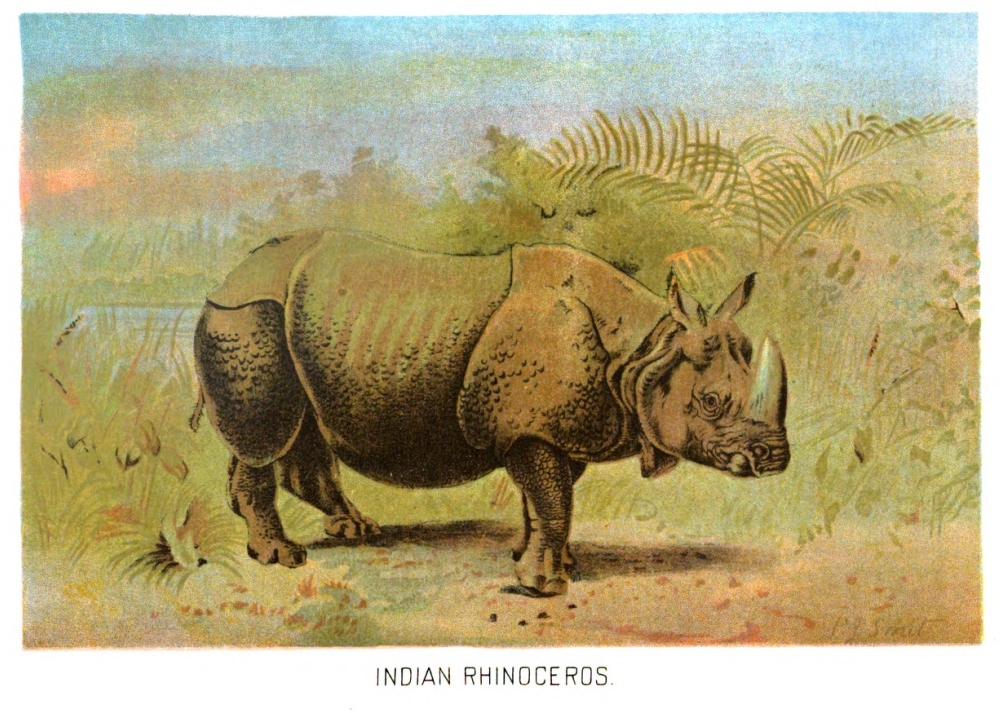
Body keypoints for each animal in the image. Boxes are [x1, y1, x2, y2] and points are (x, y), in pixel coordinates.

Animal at [193, 228, 789, 595]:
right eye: (710, 402)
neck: (648, 350)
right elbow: (553, 499)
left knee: (300, 430)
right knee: (266, 435)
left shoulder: (551, 426)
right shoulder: (531, 427)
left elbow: (543, 498)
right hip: (246, 317)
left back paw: (355, 530)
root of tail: (226, 277)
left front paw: (542, 559)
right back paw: (283, 557)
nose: (775, 458)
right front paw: (543, 586)